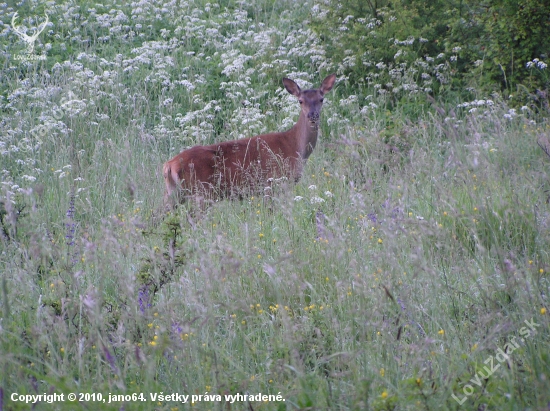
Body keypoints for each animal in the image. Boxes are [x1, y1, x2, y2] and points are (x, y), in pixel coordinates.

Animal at [162, 73, 338, 209]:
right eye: (300, 101)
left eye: (321, 99)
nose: (313, 115)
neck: (295, 146)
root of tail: (169, 165)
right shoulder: (273, 181)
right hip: (202, 192)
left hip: (174, 193)